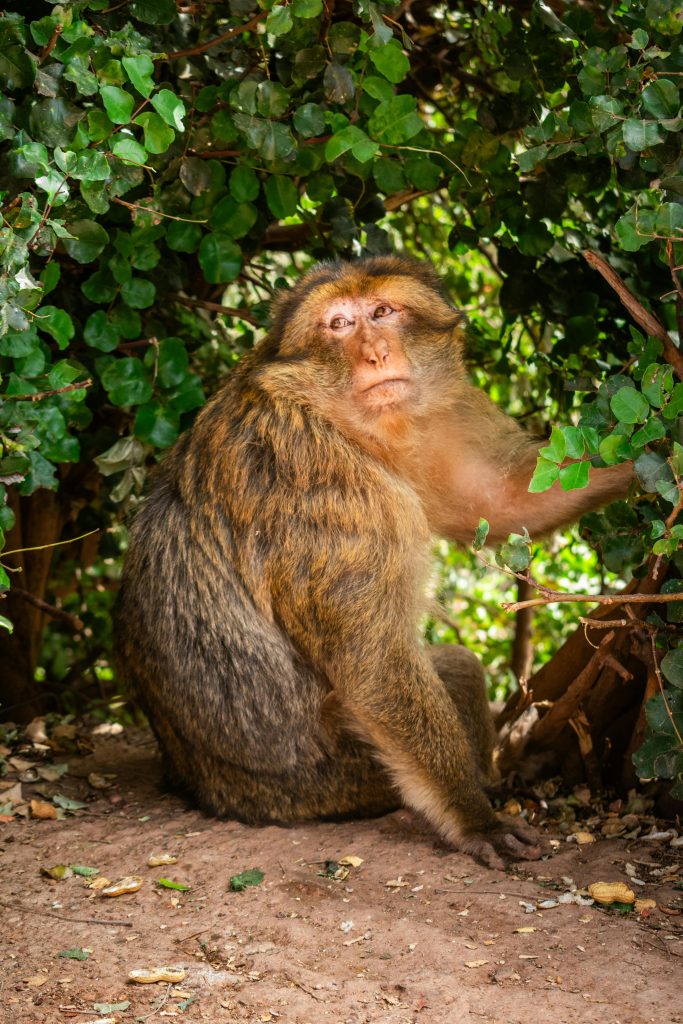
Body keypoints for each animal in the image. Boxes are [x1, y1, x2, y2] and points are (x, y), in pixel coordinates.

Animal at [114, 256, 632, 868]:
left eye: (383, 312)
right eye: (339, 324)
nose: (375, 353)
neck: (338, 419)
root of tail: (200, 783)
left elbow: (500, 498)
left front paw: (650, 453)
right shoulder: (330, 492)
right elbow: (375, 668)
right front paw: (474, 817)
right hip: (333, 782)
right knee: (445, 674)